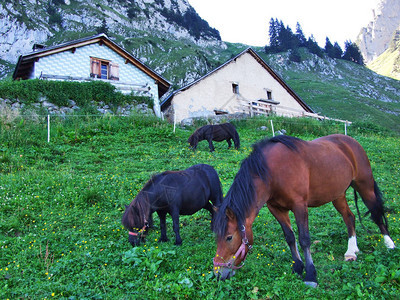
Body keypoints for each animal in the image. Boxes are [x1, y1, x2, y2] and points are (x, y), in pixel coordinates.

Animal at [212, 134, 394, 286]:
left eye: (229, 237)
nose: (218, 273)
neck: (272, 172)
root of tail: (351, 142)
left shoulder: (299, 206)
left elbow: (304, 239)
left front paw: (311, 275)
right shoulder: (276, 209)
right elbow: (290, 237)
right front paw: (298, 267)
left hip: (365, 186)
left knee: (377, 213)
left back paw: (389, 244)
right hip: (338, 194)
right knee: (349, 217)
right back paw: (351, 251)